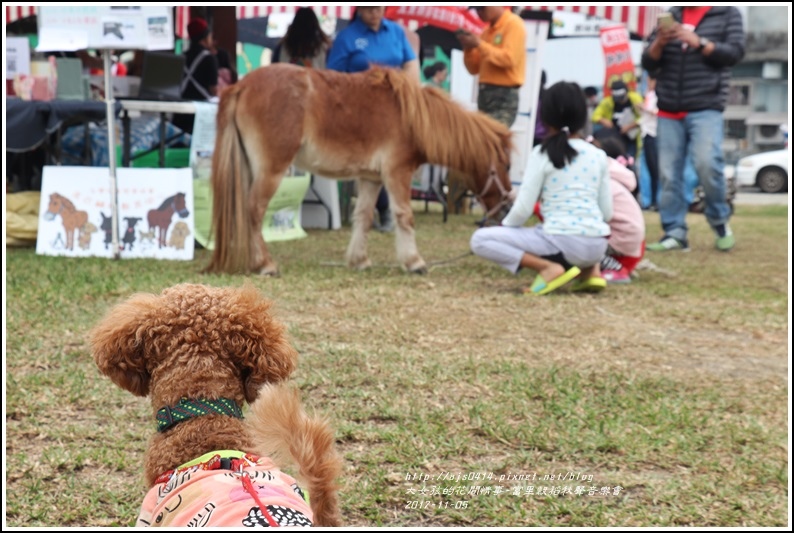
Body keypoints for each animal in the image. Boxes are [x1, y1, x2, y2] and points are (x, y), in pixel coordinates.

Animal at [207, 64, 510, 276]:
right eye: (506, 164)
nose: (507, 208)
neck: (411, 117)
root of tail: (241, 85)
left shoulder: (370, 179)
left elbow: (363, 217)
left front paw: (359, 260)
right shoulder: (397, 173)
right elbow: (405, 216)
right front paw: (414, 262)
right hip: (271, 170)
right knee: (254, 210)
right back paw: (265, 264)